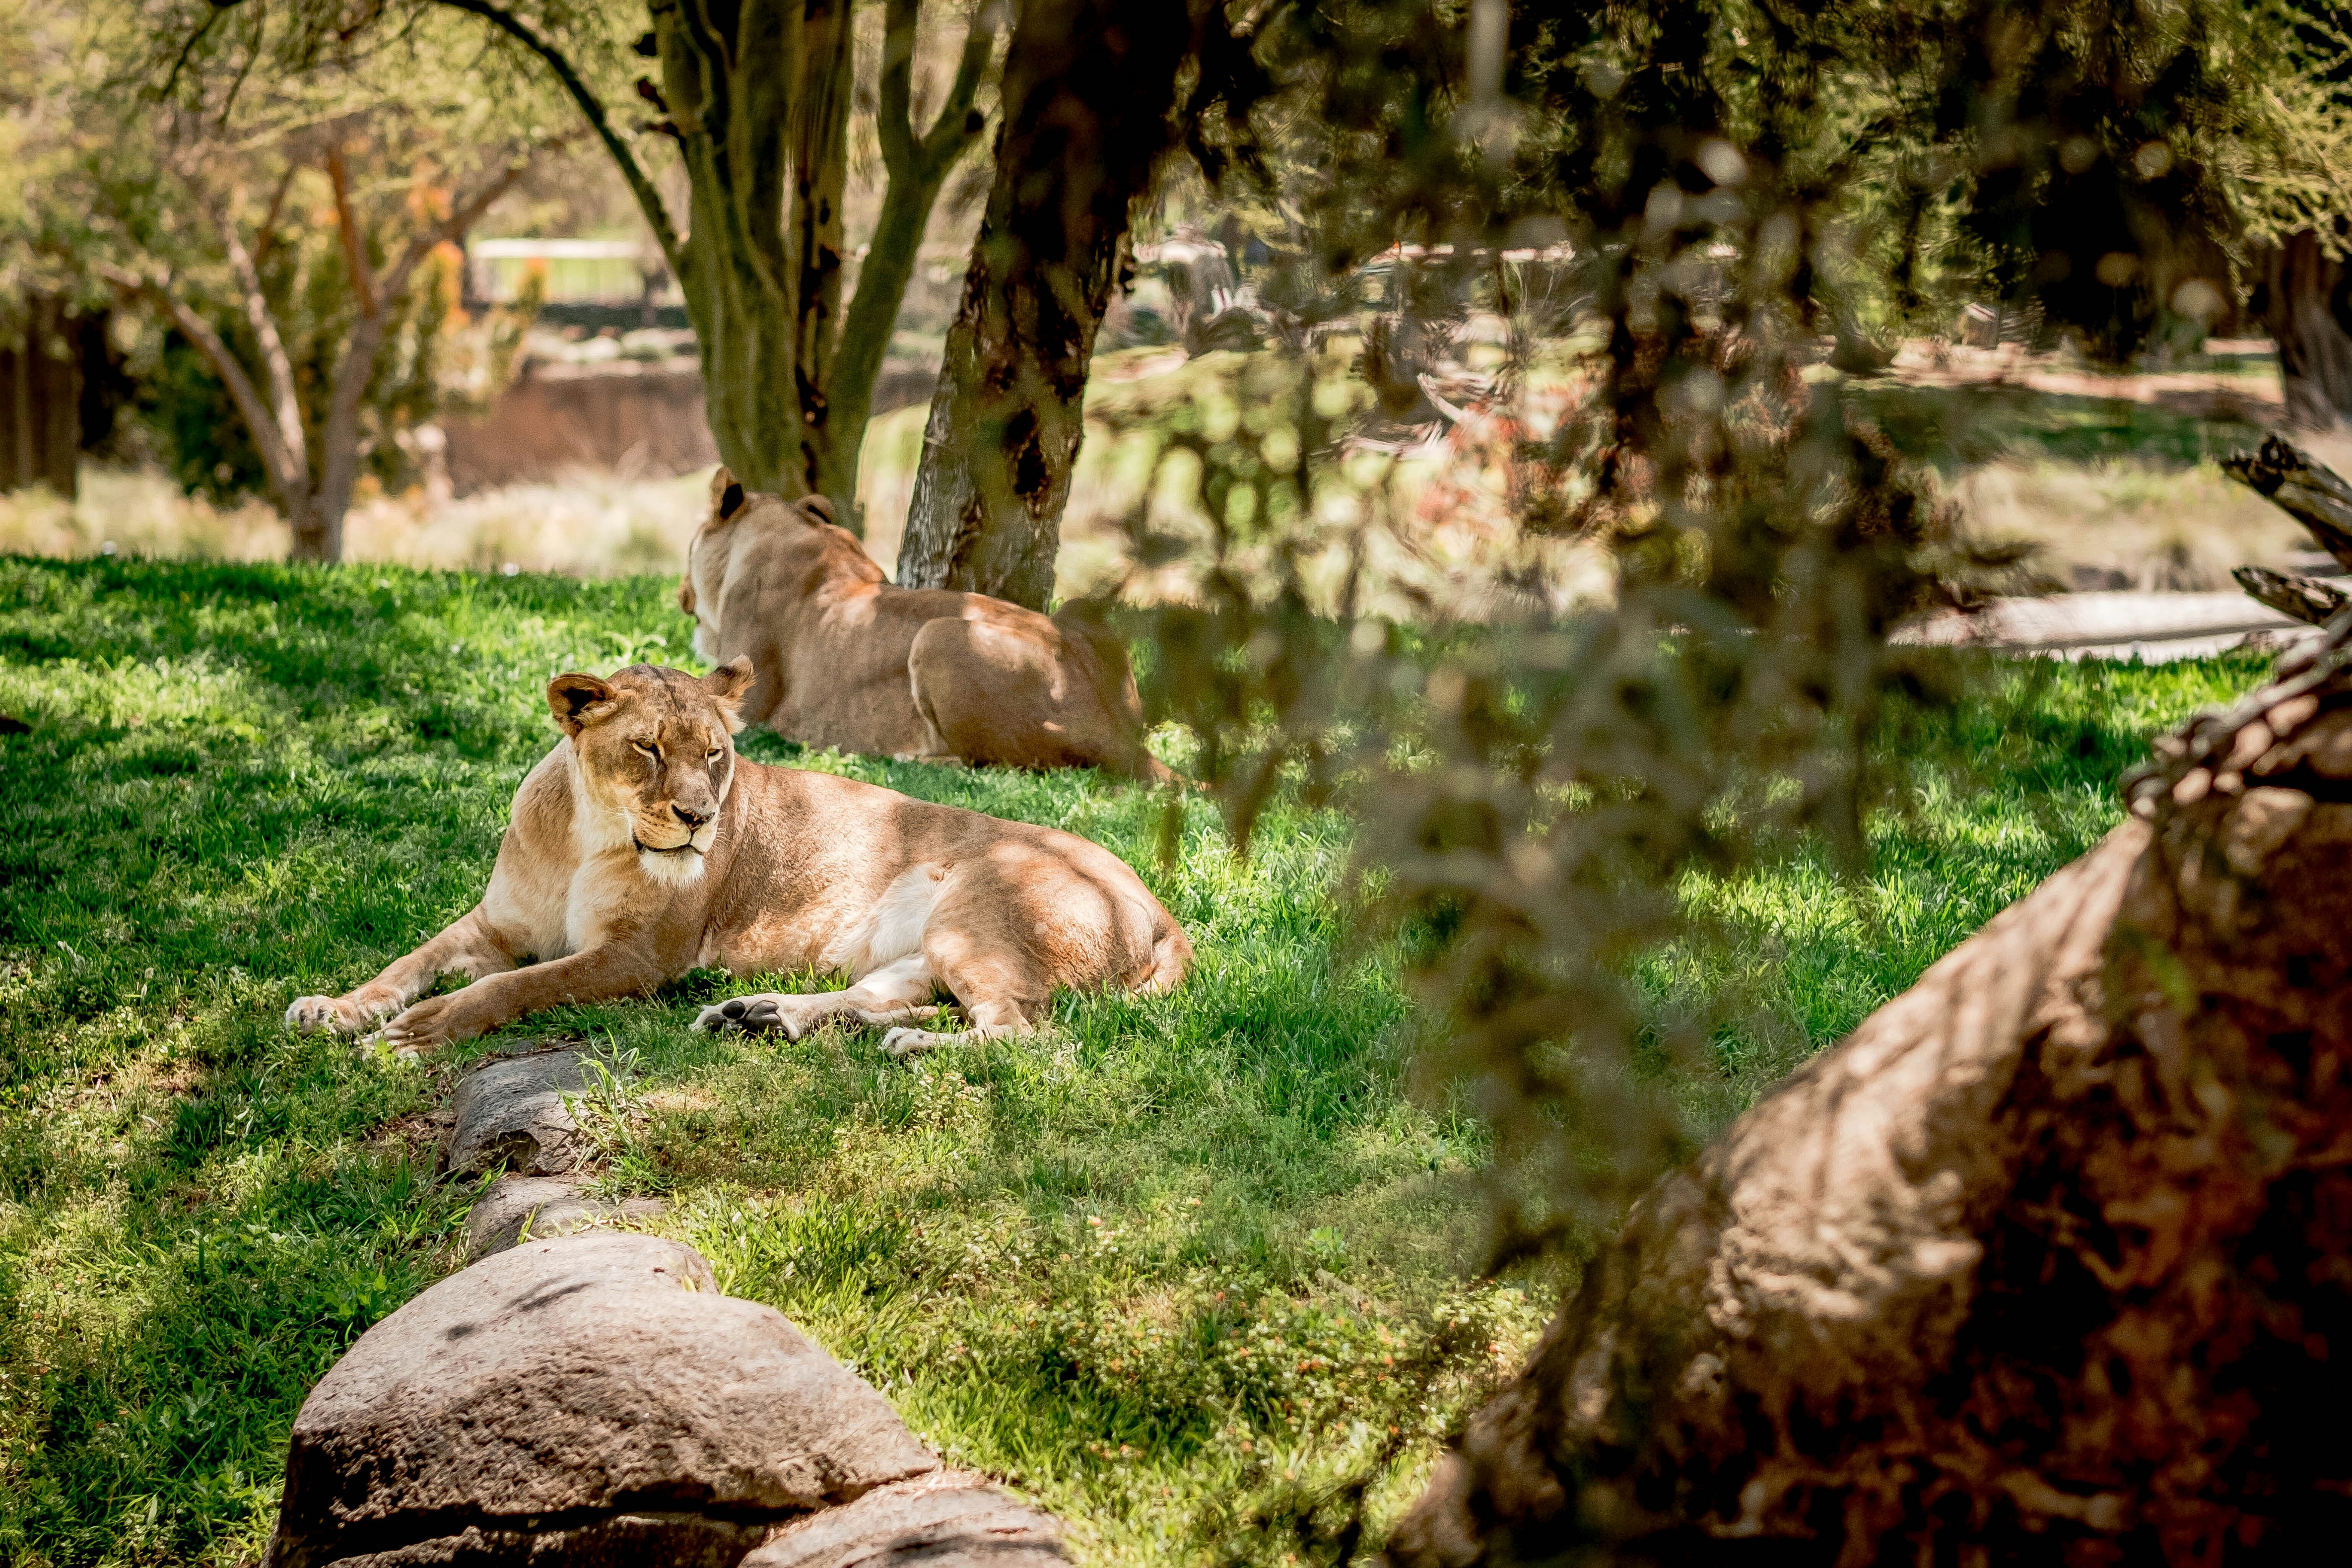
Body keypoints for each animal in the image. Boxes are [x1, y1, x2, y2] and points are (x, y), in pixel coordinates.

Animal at [283, 659, 1191, 1055]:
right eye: (649, 747)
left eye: (716, 752)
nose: (698, 817)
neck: (590, 832)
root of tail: (1160, 906)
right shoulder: (494, 922)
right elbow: (408, 960)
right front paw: (334, 1007)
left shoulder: (637, 957)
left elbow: (514, 986)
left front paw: (419, 1031)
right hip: (922, 947)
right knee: (891, 999)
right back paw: (760, 1014)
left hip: (975, 919)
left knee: (1025, 1035)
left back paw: (909, 1048)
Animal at [680, 469, 1174, 781]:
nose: (681, 592)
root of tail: (1121, 735)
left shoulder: (752, 708)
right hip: (1081, 610)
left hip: (939, 634)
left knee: (996, 763)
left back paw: (910, 758)